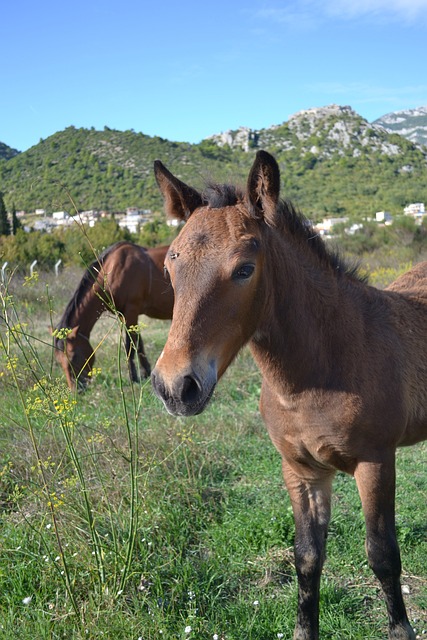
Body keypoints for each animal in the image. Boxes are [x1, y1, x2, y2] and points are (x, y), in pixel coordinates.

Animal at [54, 241, 174, 388]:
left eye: (74, 356)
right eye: (58, 360)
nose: (76, 389)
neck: (112, 271)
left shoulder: (131, 311)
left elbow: (130, 346)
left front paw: (134, 377)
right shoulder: (124, 316)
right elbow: (138, 344)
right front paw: (145, 372)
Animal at [151, 151, 427, 640]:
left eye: (245, 269)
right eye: (170, 268)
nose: (175, 387)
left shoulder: (376, 462)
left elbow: (382, 555)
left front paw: (401, 629)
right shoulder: (300, 471)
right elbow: (307, 558)